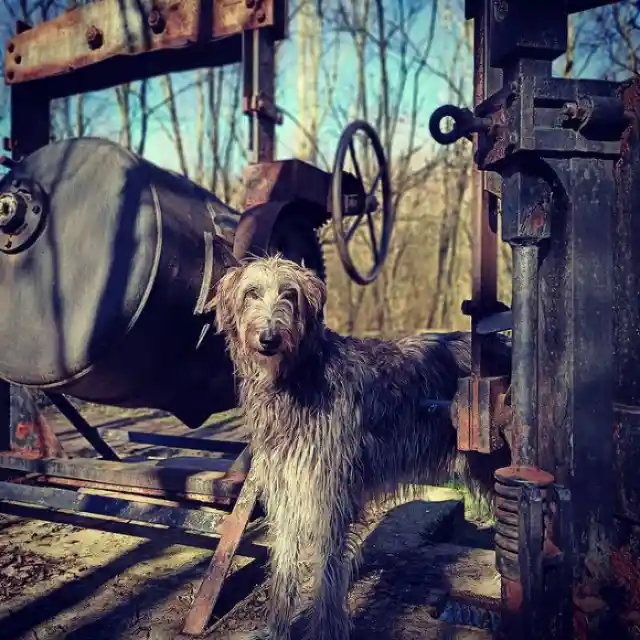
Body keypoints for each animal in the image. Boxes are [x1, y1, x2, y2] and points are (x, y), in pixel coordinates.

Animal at [214, 255, 510, 640]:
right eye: (251, 293)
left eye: (290, 294)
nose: (269, 339)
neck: (297, 379)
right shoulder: (287, 490)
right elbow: (285, 562)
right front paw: (277, 629)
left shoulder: (329, 493)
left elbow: (327, 572)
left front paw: (324, 631)